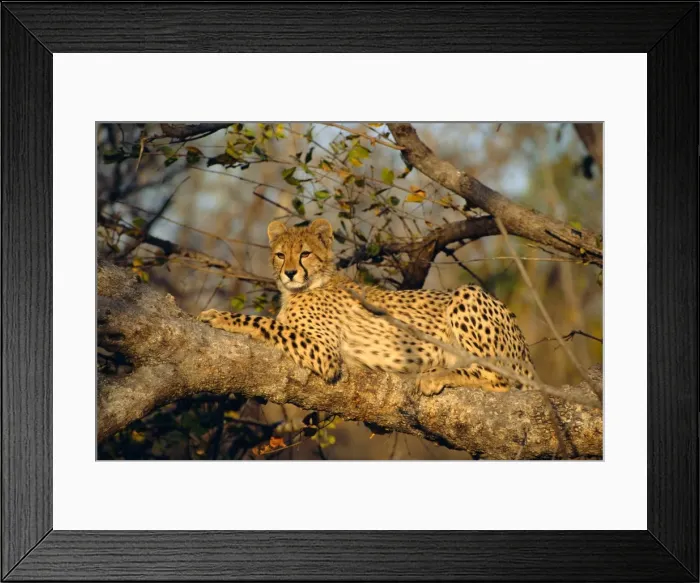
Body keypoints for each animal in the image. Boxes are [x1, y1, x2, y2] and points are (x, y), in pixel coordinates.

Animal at [199, 218, 534, 396]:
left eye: (305, 253)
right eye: (281, 255)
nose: (290, 273)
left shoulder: (325, 354)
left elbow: (264, 322)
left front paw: (219, 316)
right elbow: (271, 322)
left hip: (466, 294)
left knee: (501, 377)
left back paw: (435, 375)